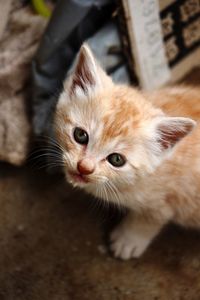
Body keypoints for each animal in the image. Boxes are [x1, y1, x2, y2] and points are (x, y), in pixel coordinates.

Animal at [54, 44, 200, 260]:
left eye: (116, 159)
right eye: (80, 135)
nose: (84, 167)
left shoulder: (169, 200)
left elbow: (150, 218)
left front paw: (129, 239)